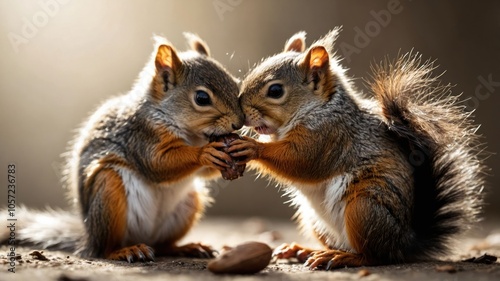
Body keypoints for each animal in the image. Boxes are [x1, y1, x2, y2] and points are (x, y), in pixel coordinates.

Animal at [1, 34, 244, 262]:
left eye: (235, 83)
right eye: (202, 98)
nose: (239, 123)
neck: (193, 136)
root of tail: (88, 238)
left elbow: (205, 172)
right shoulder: (141, 136)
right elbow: (158, 164)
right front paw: (205, 153)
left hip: (189, 203)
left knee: (163, 246)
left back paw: (187, 248)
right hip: (108, 192)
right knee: (105, 249)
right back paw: (125, 251)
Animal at [229, 29, 484, 270]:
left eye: (275, 91)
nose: (241, 113)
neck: (319, 107)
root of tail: (405, 243)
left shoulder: (330, 136)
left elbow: (300, 161)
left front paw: (252, 146)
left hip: (364, 207)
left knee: (375, 257)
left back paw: (342, 257)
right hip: (313, 219)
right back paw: (304, 250)